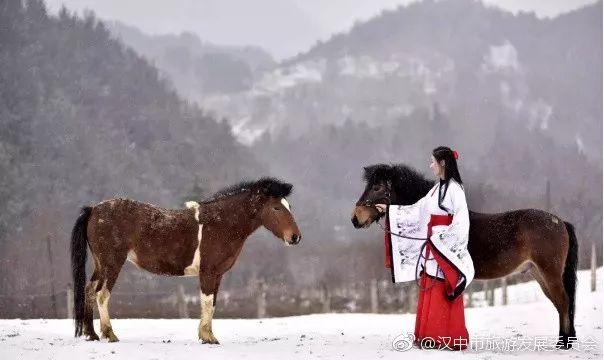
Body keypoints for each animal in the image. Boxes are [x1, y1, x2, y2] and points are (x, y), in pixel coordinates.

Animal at [71, 177, 302, 344]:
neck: (221, 224)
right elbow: (207, 302)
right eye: (276, 208)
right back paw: (109, 334)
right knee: (101, 295)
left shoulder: (217, 275)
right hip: (112, 264)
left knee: (89, 291)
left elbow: (213, 303)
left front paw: (205, 335)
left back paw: (91, 334)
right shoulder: (208, 273)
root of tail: (93, 209)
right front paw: (208, 337)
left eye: (289, 205)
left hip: (101, 265)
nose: (295, 237)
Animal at [352, 164, 580, 348]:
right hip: (540, 274)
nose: (355, 218)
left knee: (564, 303)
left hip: (550, 273)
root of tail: (560, 222)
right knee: (561, 305)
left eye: (377, 187)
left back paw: (563, 344)